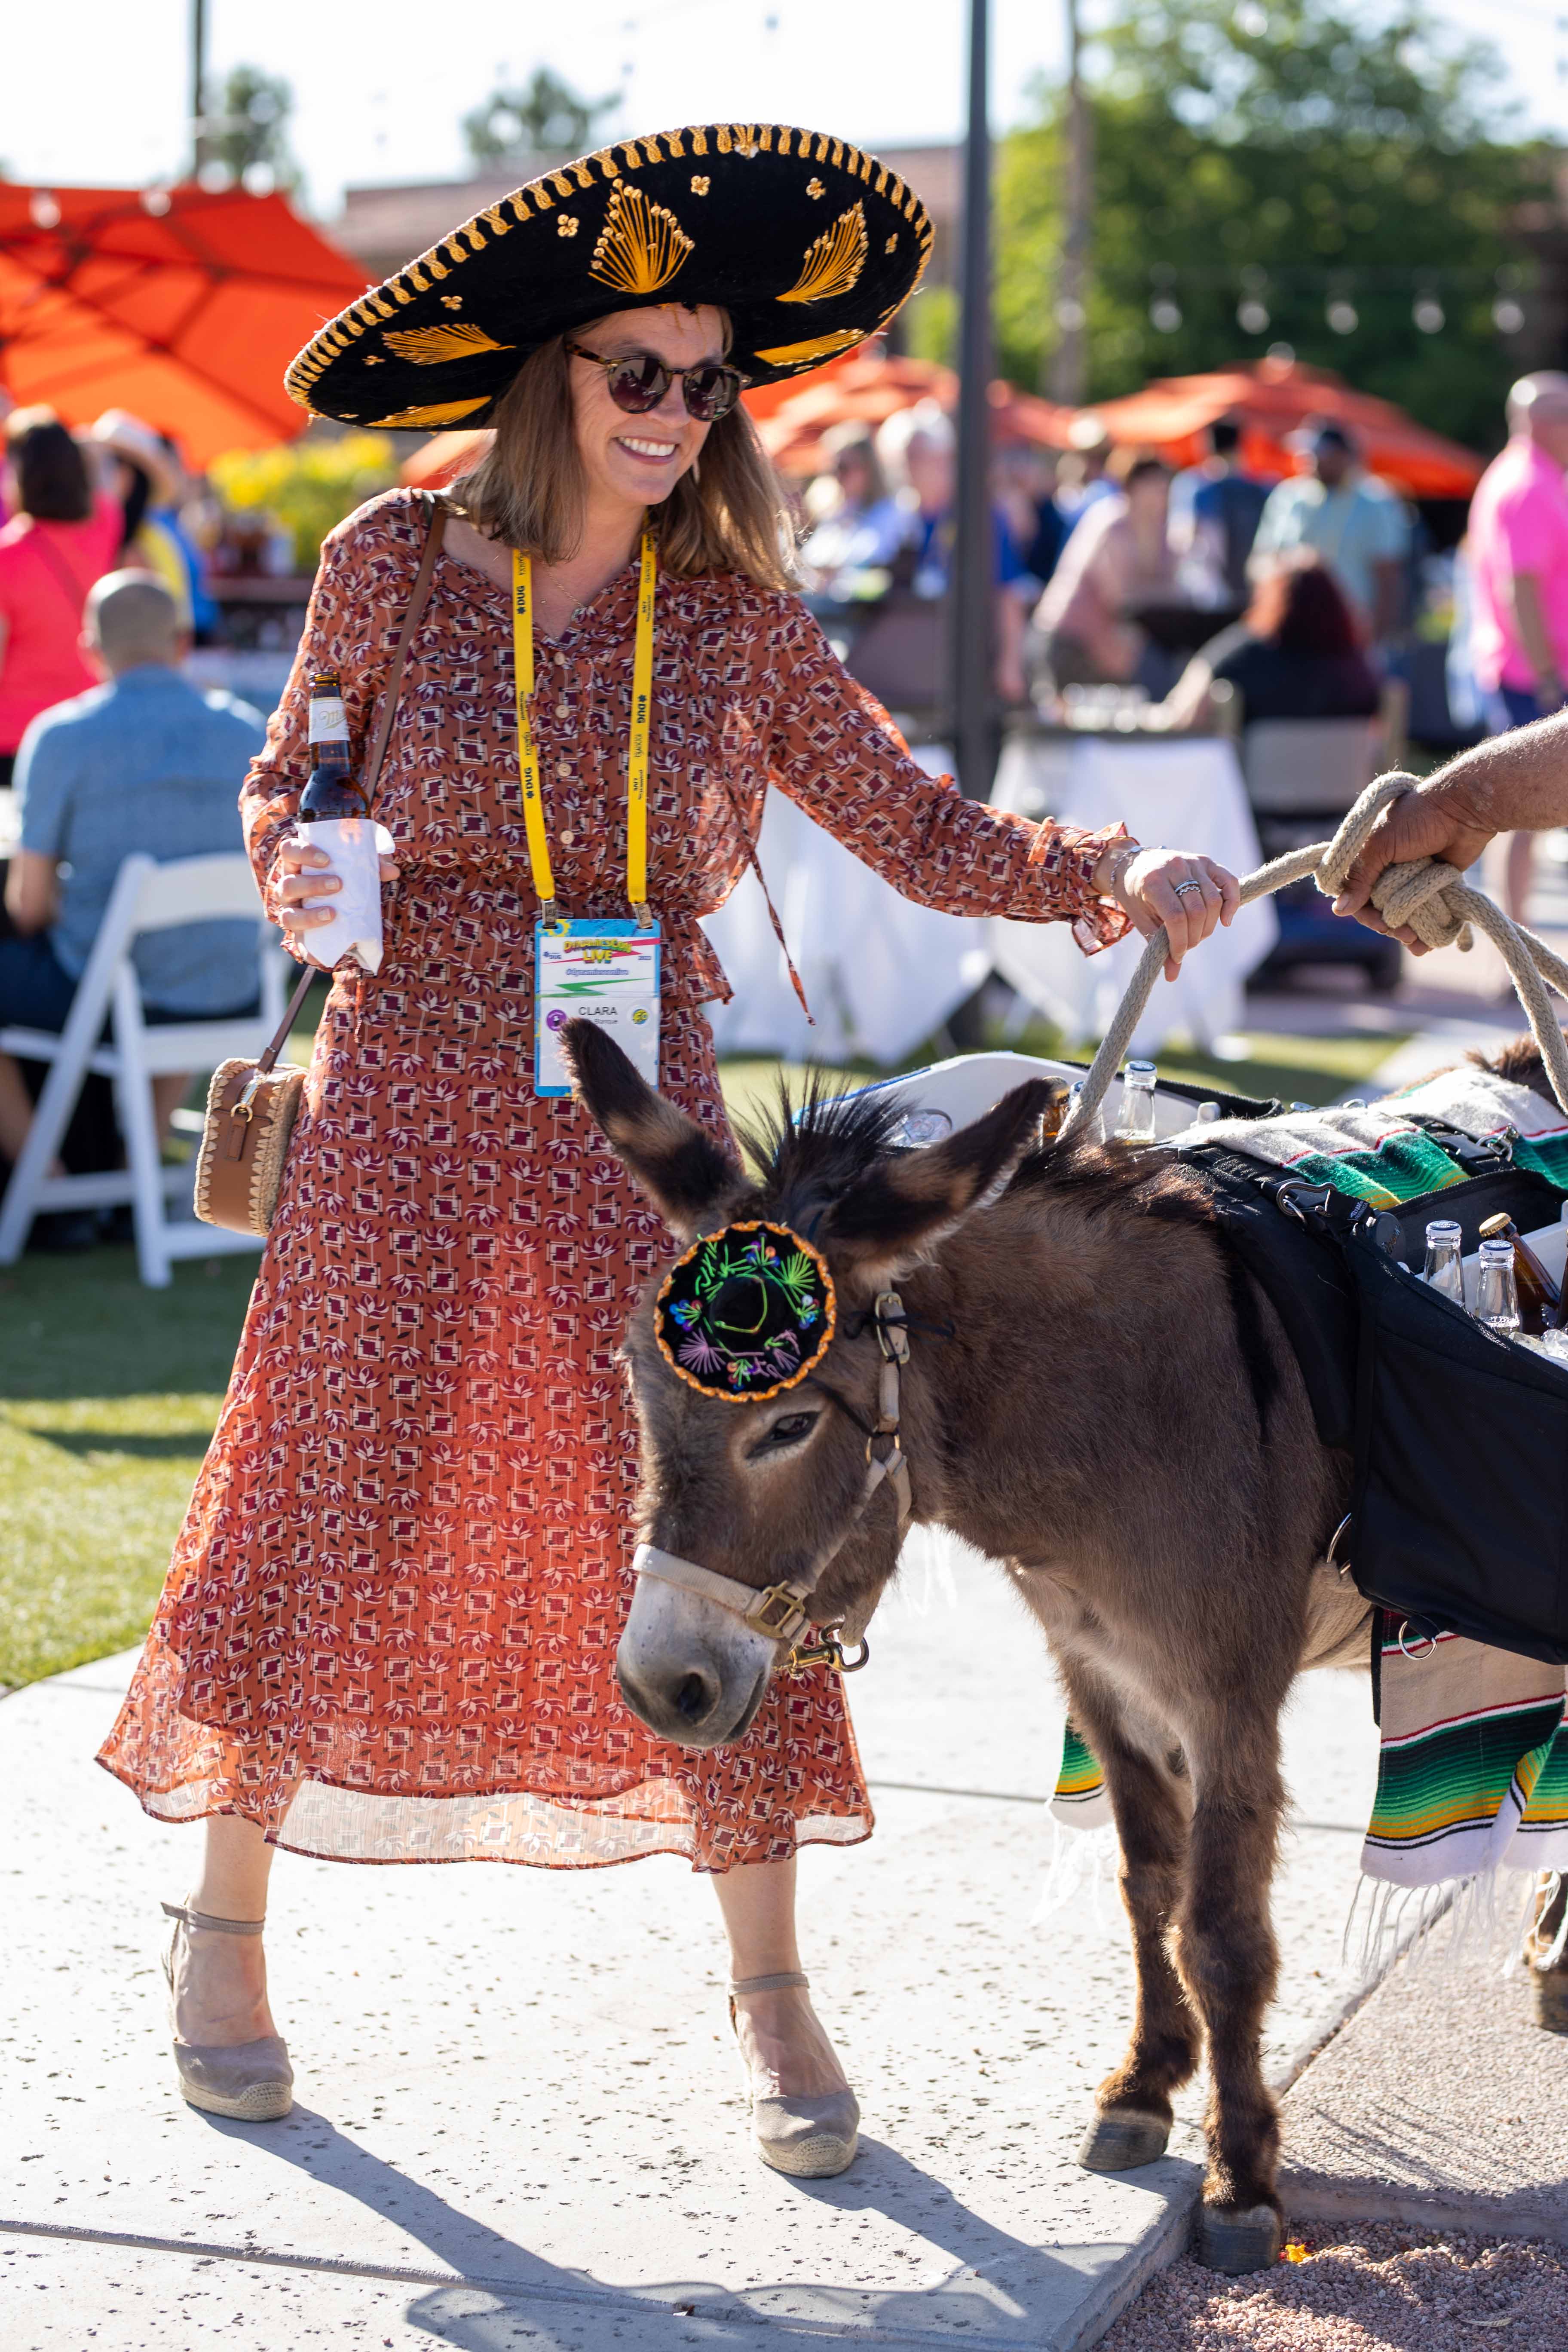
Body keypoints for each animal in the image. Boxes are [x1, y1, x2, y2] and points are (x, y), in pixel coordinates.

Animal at [565, 1015, 1387, 2274]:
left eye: (789, 1423)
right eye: (638, 1382)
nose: (662, 1686)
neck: (1140, 1401)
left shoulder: (1228, 1694)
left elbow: (1223, 1934)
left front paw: (1242, 2181)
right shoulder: (1098, 1668)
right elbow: (1146, 1885)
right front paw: (1144, 2089)